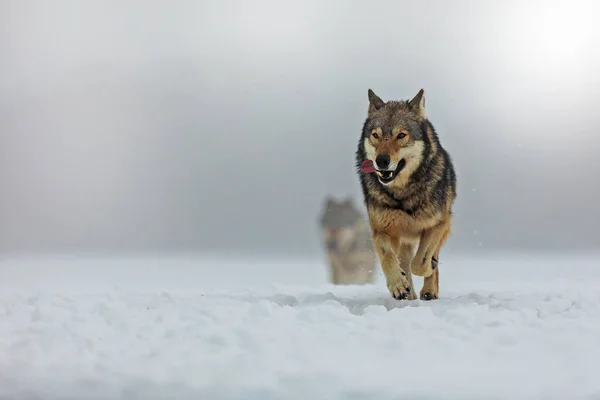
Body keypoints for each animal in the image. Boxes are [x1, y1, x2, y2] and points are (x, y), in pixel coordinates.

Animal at [354, 87, 458, 300]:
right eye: (376, 135)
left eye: (401, 135)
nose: (381, 160)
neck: (403, 194)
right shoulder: (382, 230)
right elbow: (388, 257)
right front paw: (399, 285)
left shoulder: (439, 223)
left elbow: (420, 262)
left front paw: (429, 268)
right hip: (403, 240)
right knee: (404, 260)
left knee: (428, 258)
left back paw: (429, 290)